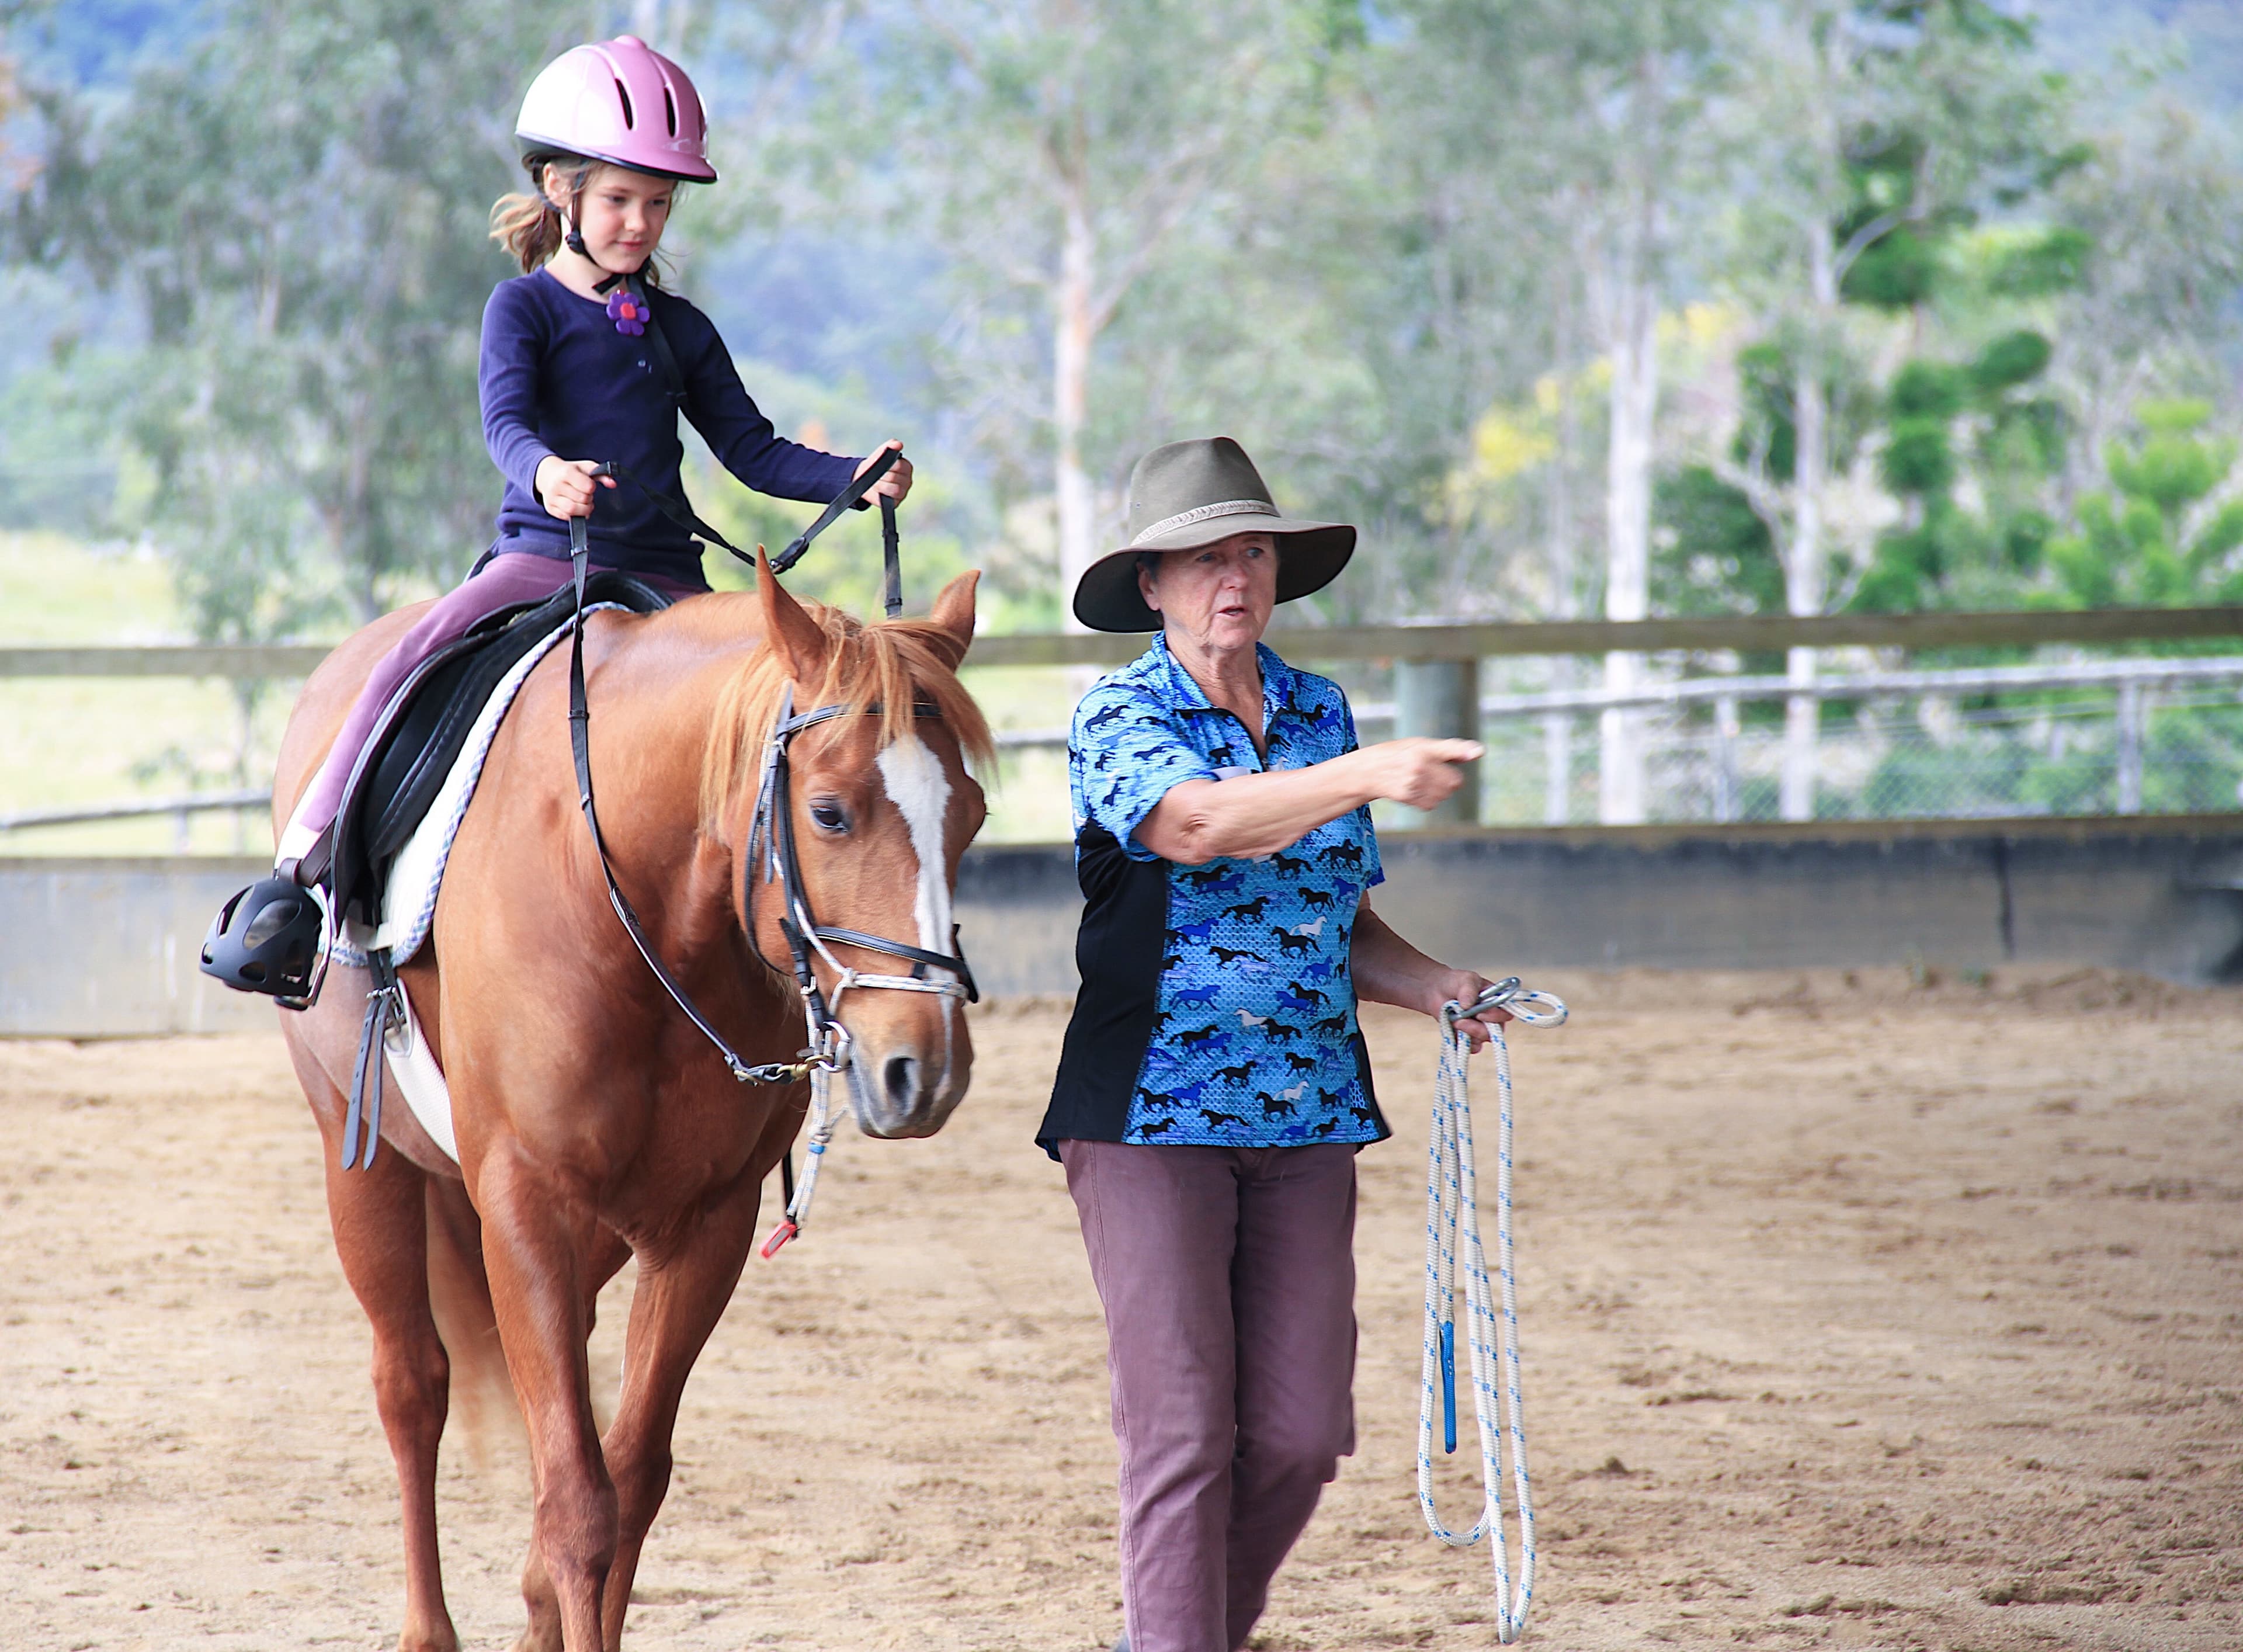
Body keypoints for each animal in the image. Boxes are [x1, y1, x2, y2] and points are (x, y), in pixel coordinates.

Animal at [271, 551, 991, 1652]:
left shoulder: (704, 1226)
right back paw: (429, 1628)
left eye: (972, 816)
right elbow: (579, 1499)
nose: (927, 1068)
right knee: (414, 1387)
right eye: (829, 811)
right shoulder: (523, 1205)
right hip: (367, 1167)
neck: (630, 906)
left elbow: (632, 1475)